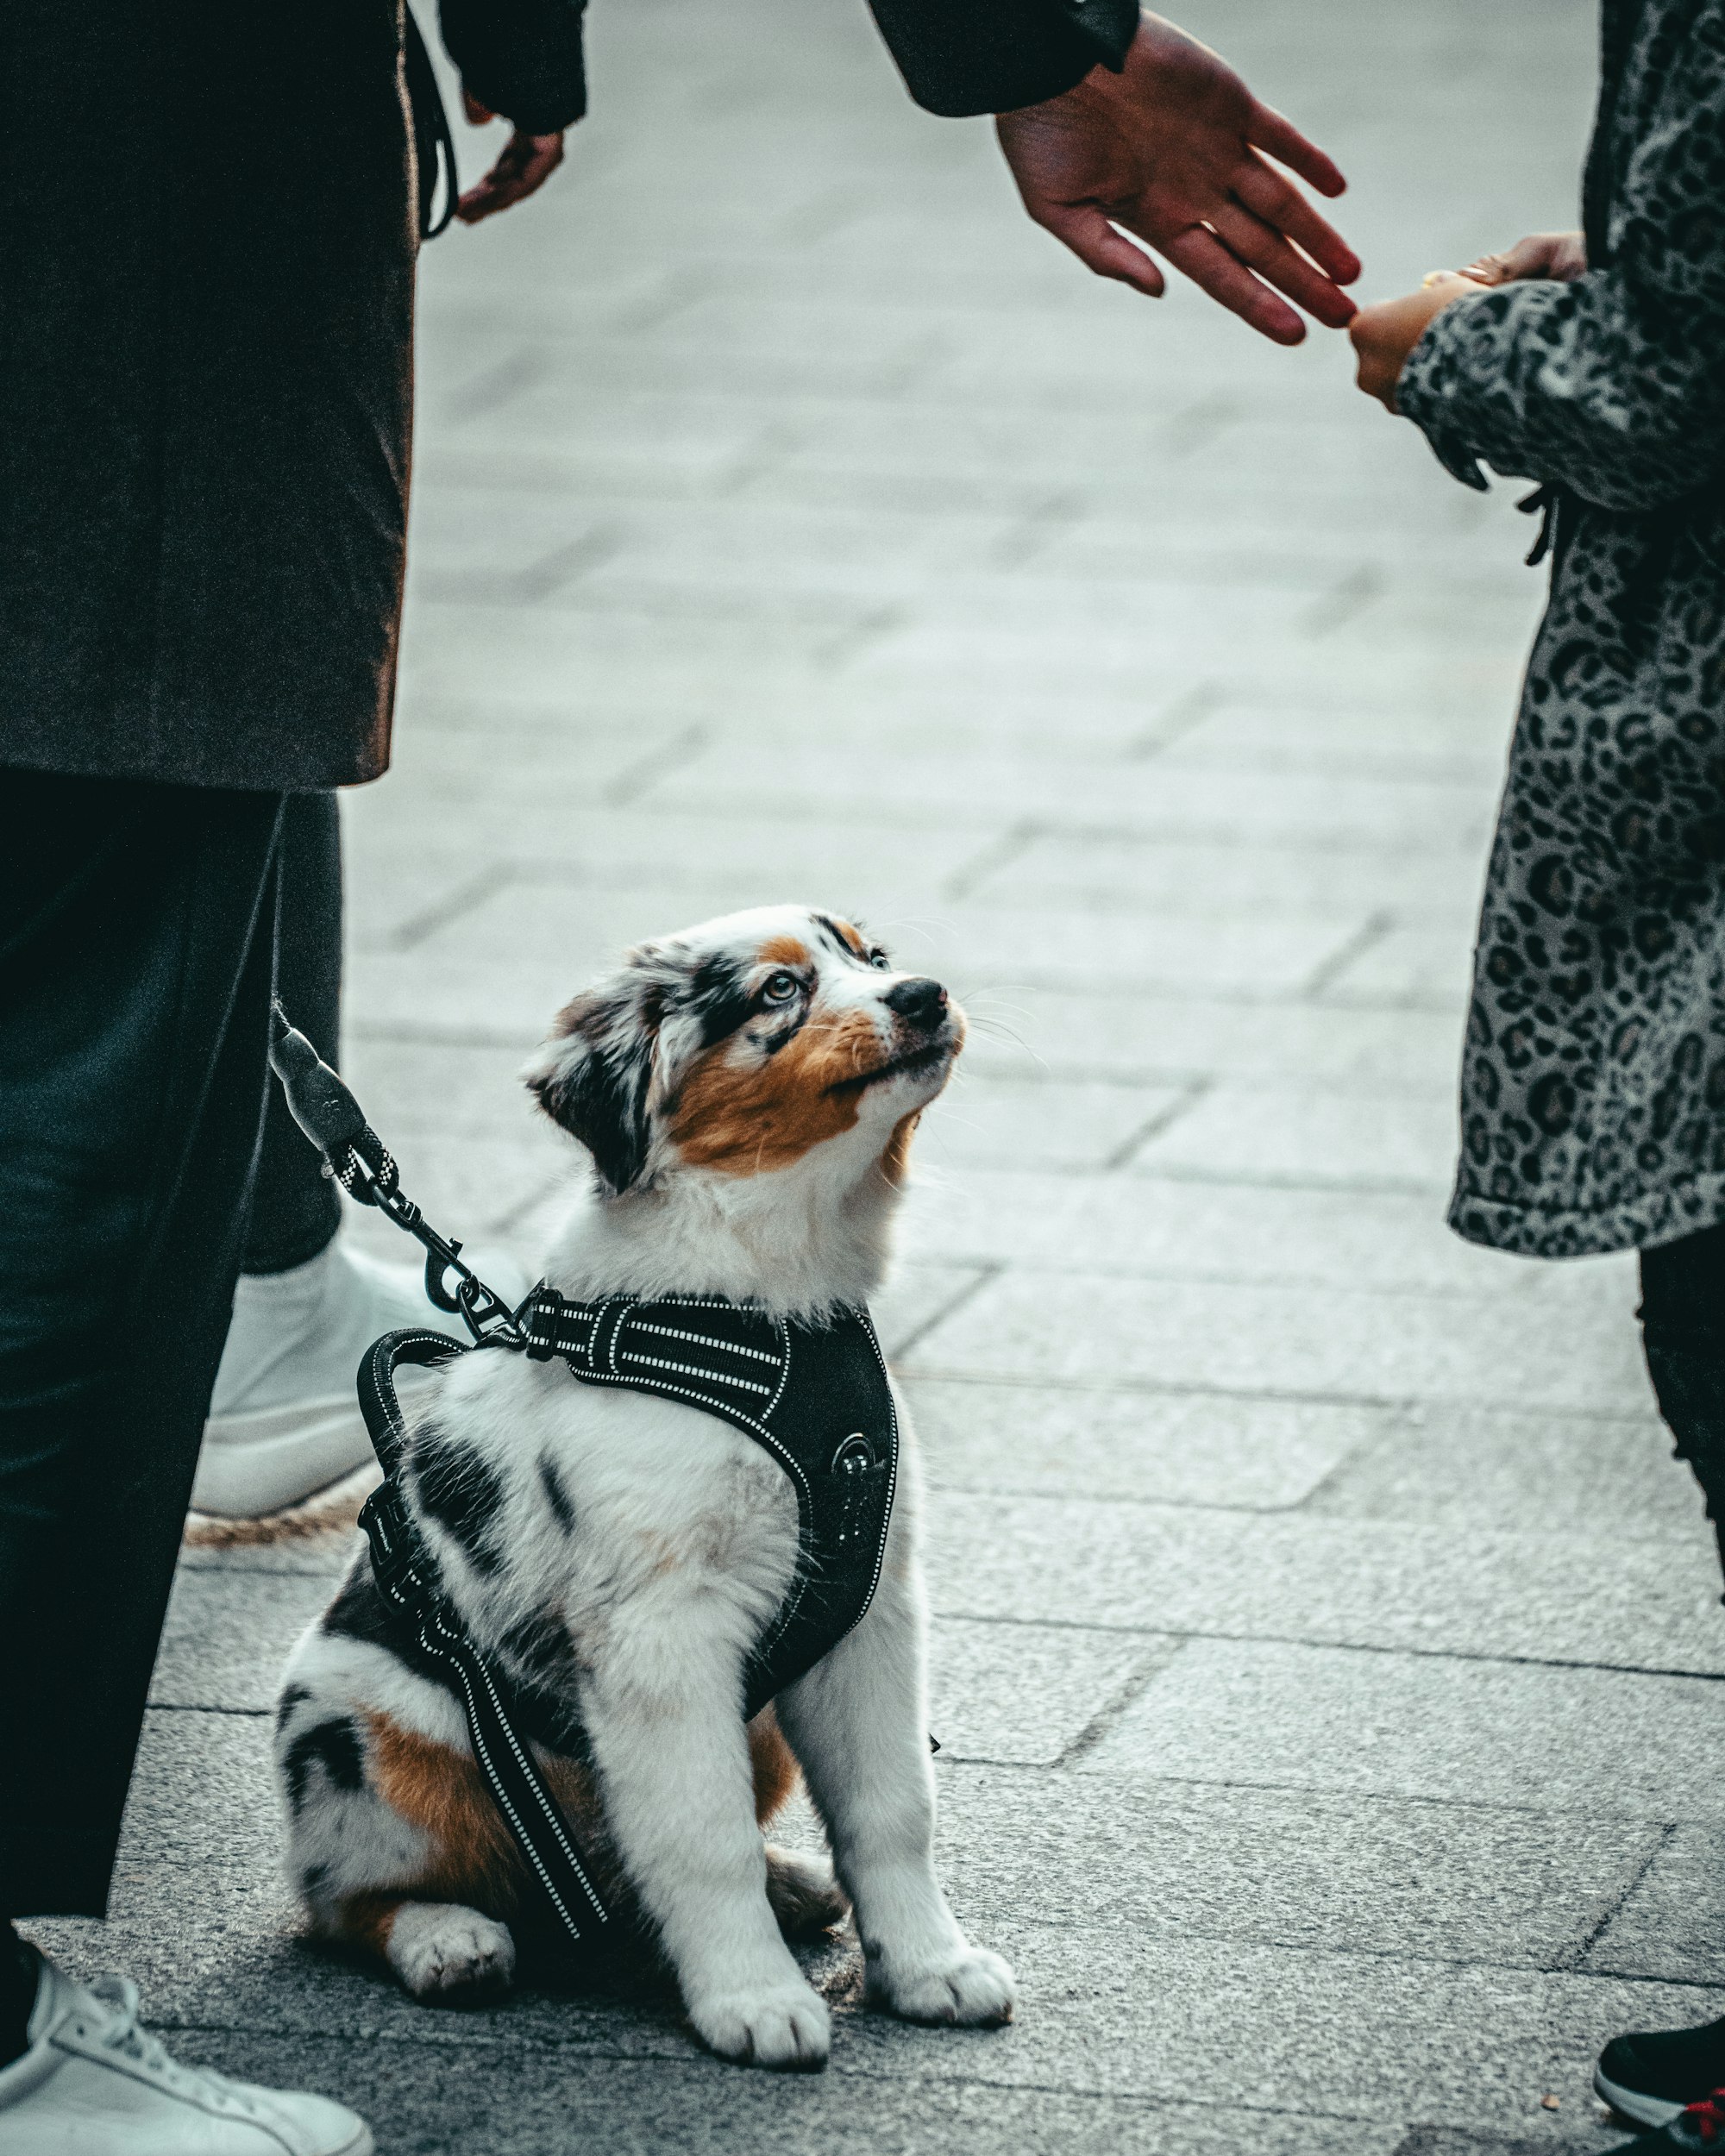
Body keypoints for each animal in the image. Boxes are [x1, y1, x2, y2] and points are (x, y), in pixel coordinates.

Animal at [276, 901, 1018, 2061]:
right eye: (777, 990)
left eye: (875, 958)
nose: (924, 995)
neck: (768, 1304)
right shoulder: (660, 1631)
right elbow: (700, 1836)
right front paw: (752, 1999)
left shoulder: (869, 1611)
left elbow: (893, 1805)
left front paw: (928, 1967)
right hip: (373, 1735)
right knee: (342, 1895)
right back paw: (447, 1938)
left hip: (756, 1723)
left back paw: (789, 1882)